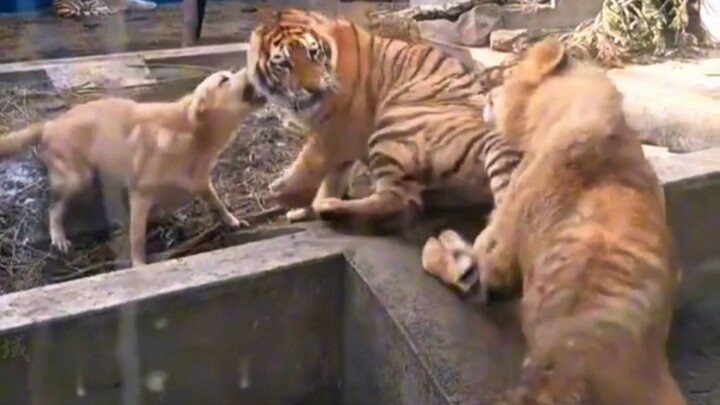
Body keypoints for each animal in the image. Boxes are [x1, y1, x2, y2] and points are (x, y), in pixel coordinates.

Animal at [246, 8, 522, 230]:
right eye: (285, 64)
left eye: (313, 53)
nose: (313, 89)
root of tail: (492, 136)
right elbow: (333, 176)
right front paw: (306, 208)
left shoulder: (339, 127)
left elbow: (310, 159)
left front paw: (284, 191)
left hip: (393, 125)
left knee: (398, 199)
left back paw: (331, 208)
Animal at [423, 38, 686, 404]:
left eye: (505, 76)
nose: (486, 94)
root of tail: (570, 371)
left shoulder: (498, 253)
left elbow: (464, 261)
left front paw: (443, 244)